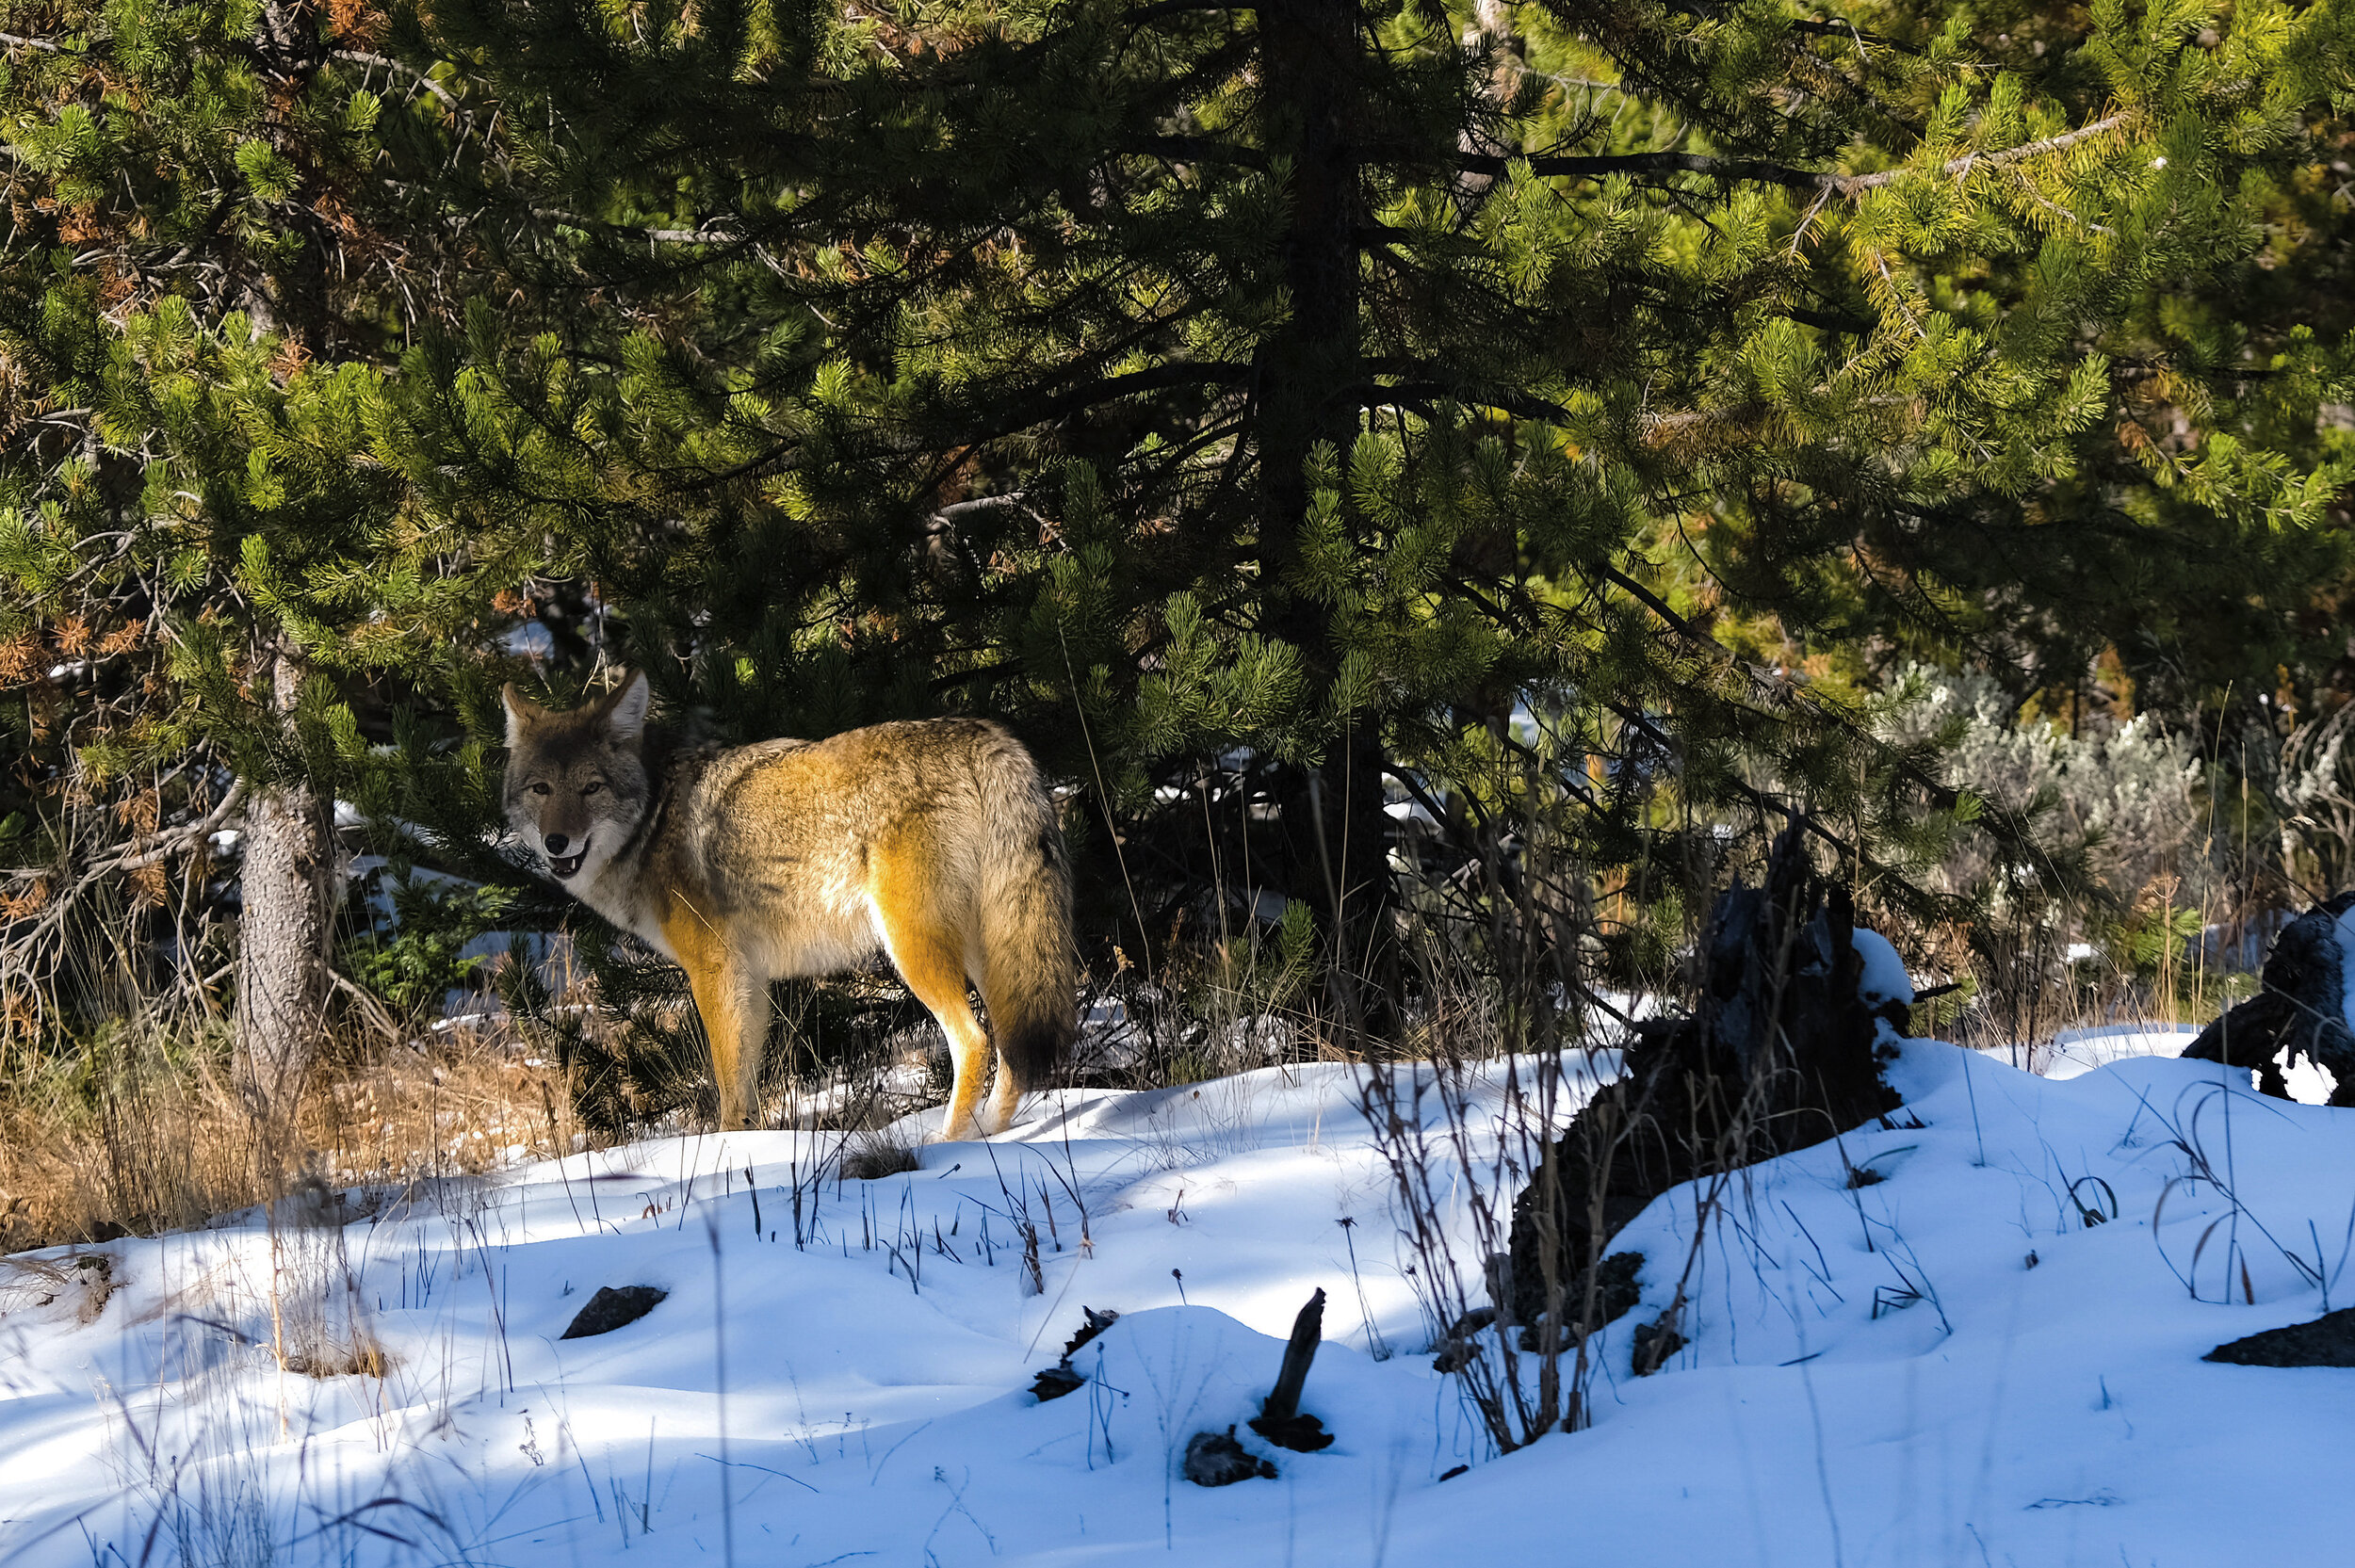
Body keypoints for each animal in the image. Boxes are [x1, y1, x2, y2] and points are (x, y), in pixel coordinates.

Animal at [511, 673, 1079, 1135]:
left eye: (591, 788)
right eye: (541, 789)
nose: (557, 843)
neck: (654, 819)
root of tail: (985, 735)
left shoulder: (714, 970)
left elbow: (727, 1084)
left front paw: (727, 1158)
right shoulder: (751, 979)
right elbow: (746, 1084)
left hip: (913, 950)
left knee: (975, 1042)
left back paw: (949, 1143)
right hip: (992, 951)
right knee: (1011, 1048)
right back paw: (996, 1134)